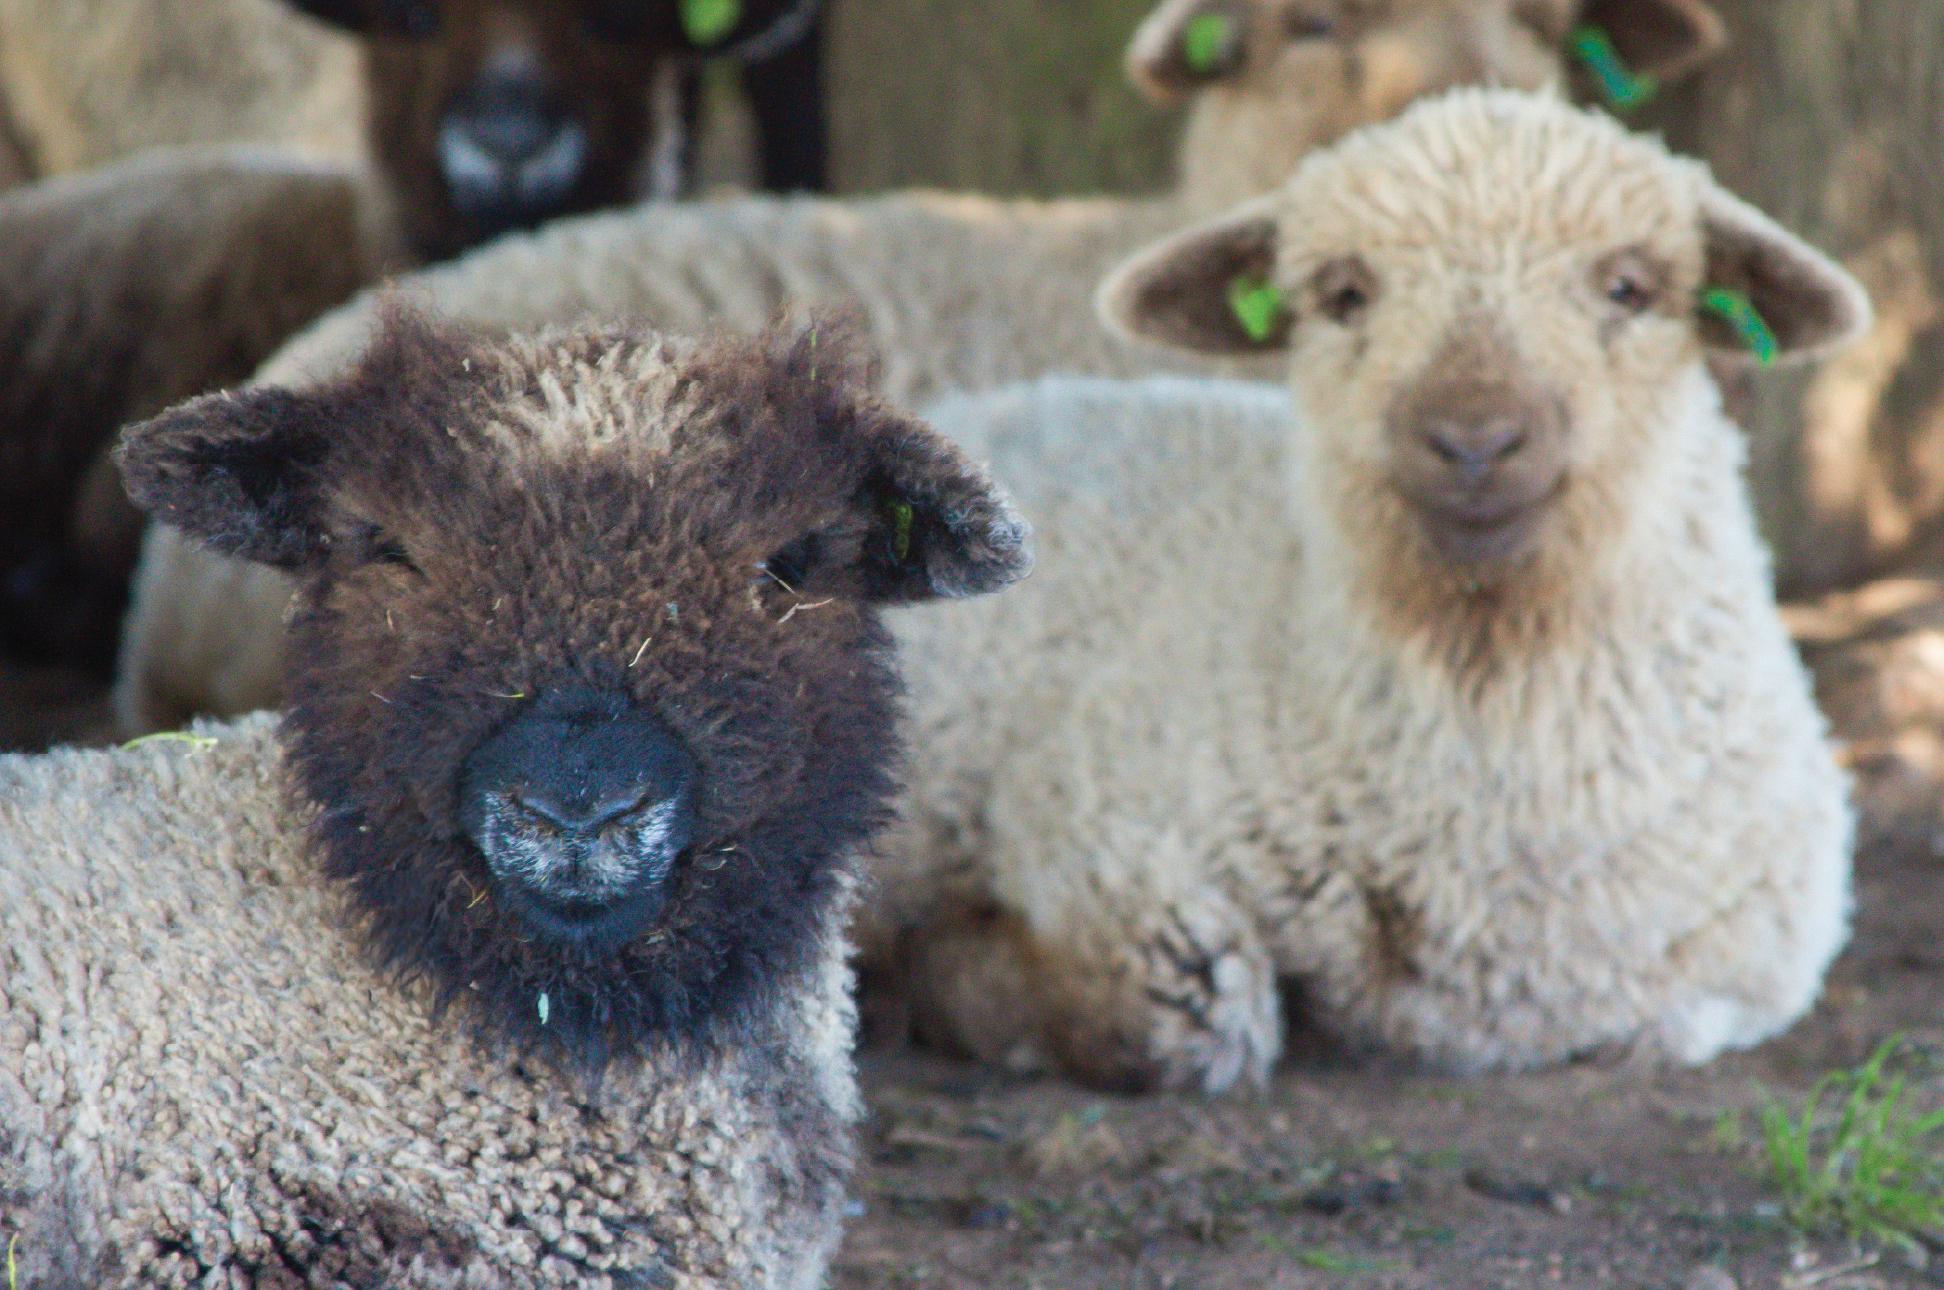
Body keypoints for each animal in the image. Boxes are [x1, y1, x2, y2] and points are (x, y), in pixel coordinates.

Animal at [861, 89, 1870, 1096]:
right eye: (1344, 294)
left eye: (1630, 287)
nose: (1473, 441)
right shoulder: (1098, 836)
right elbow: (1175, 1022)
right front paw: (955, 972)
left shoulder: (1735, 983)